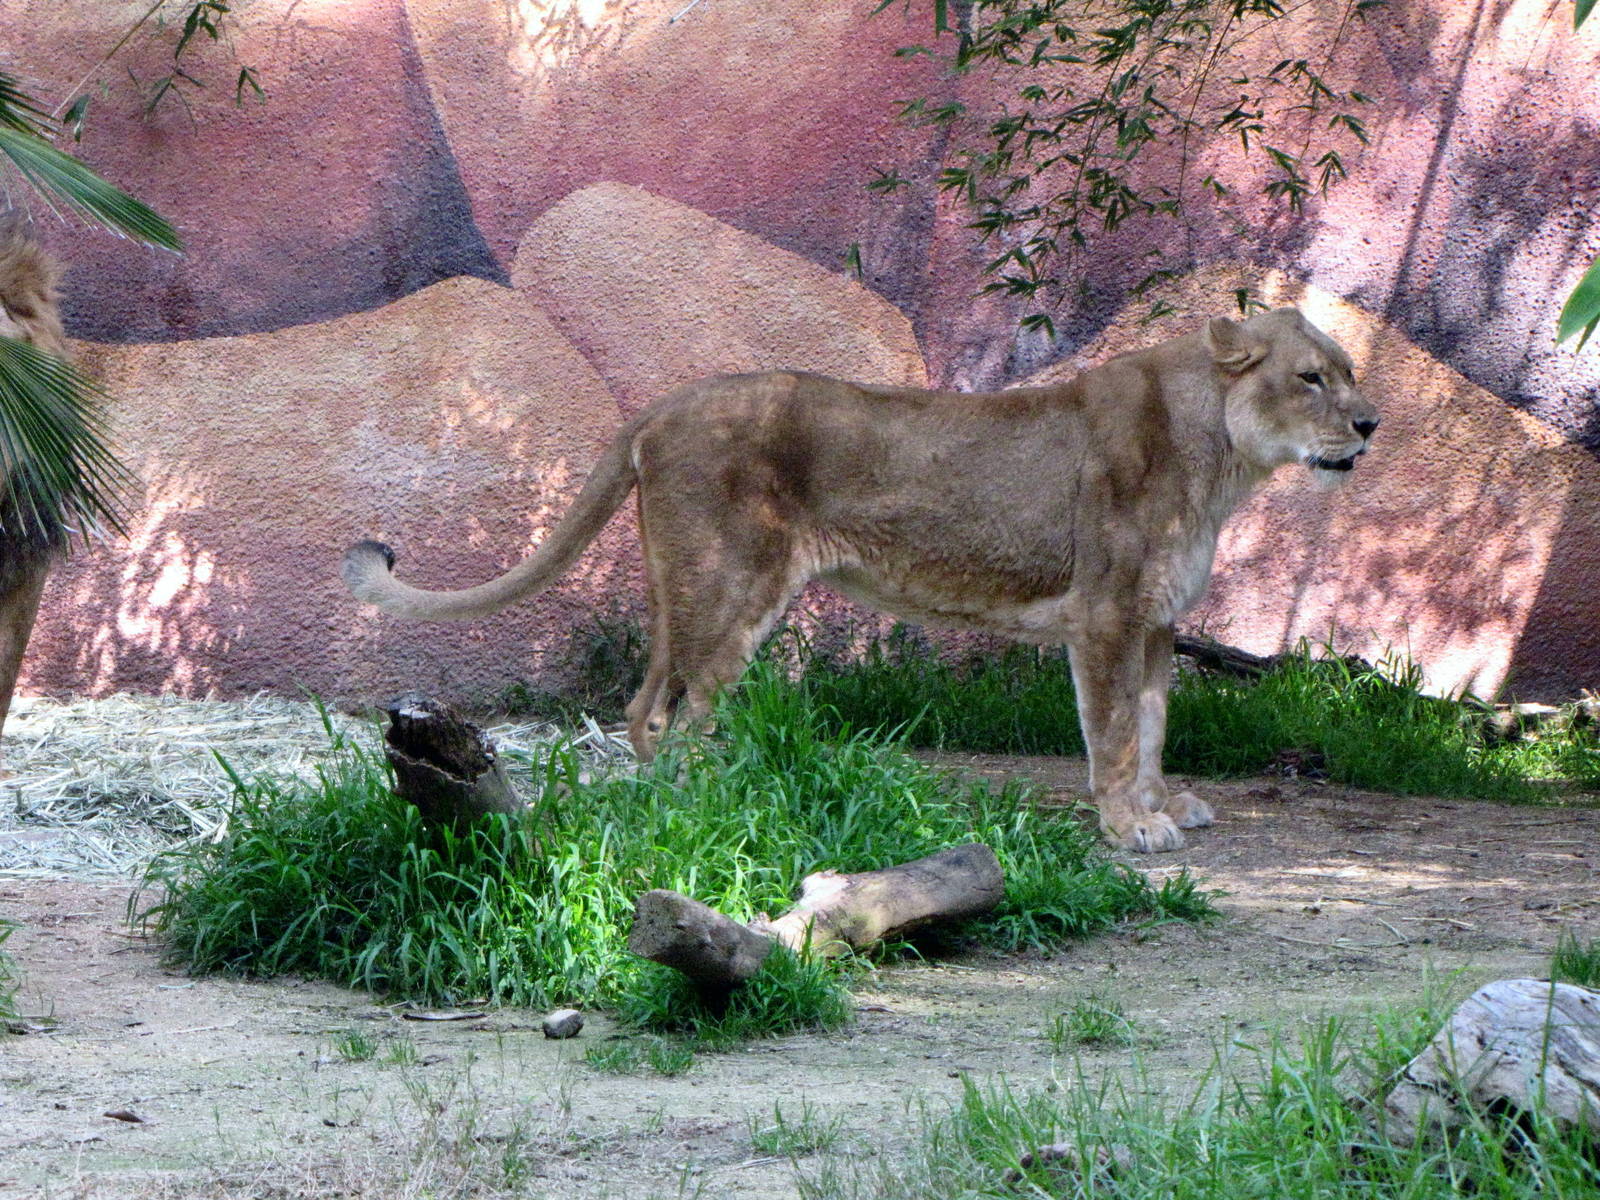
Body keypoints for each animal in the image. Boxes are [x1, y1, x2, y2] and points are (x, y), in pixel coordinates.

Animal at [344, 308, 1377, 852]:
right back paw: (706, 808)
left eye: (1349, 372)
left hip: (690, 593)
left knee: (649, 705)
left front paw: (1166, 808)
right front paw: (1130, 827)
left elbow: (1157, 724)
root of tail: (663, 405)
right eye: (1311, 378)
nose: (1370, 425)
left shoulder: (1158, 622)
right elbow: (1116, 733)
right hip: (731, 586)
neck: (1224, 458)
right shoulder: (1107, 615)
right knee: (671, 718)